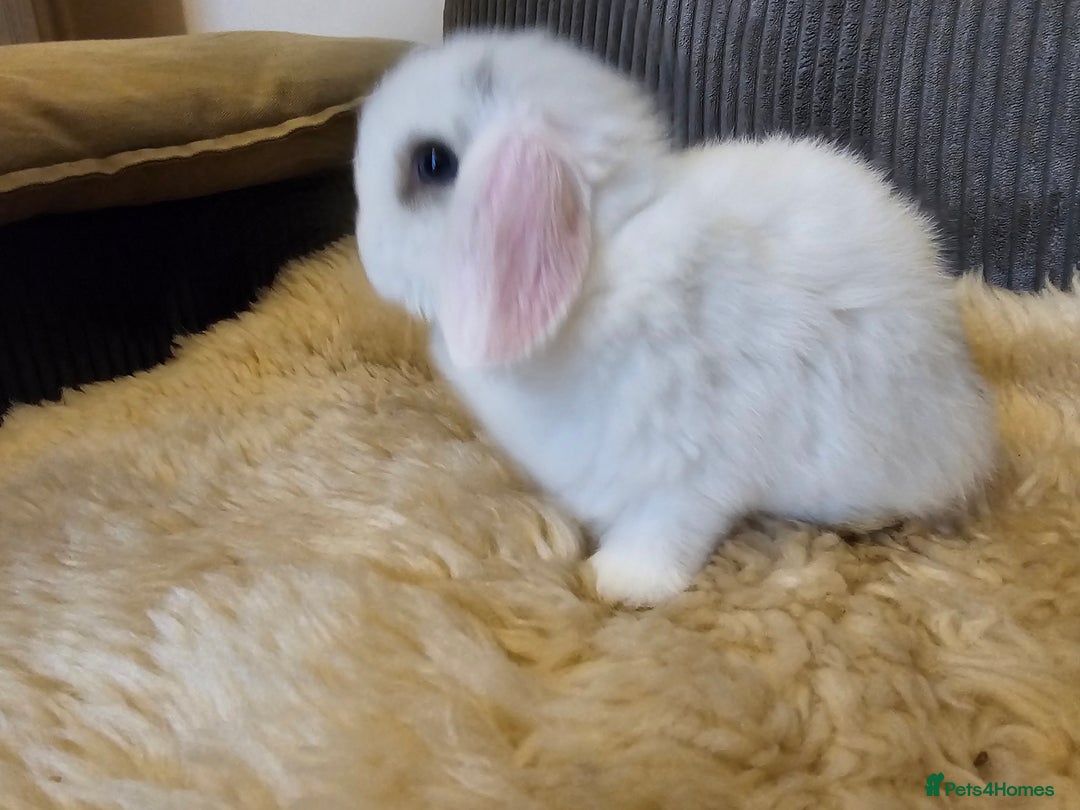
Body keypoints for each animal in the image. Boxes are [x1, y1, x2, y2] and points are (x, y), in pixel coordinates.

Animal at [353, 29, 998, 606]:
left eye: (432, 162)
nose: (367, 258)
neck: (599, 263)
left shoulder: (692, 470)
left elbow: (666, 529)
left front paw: (618, 582)